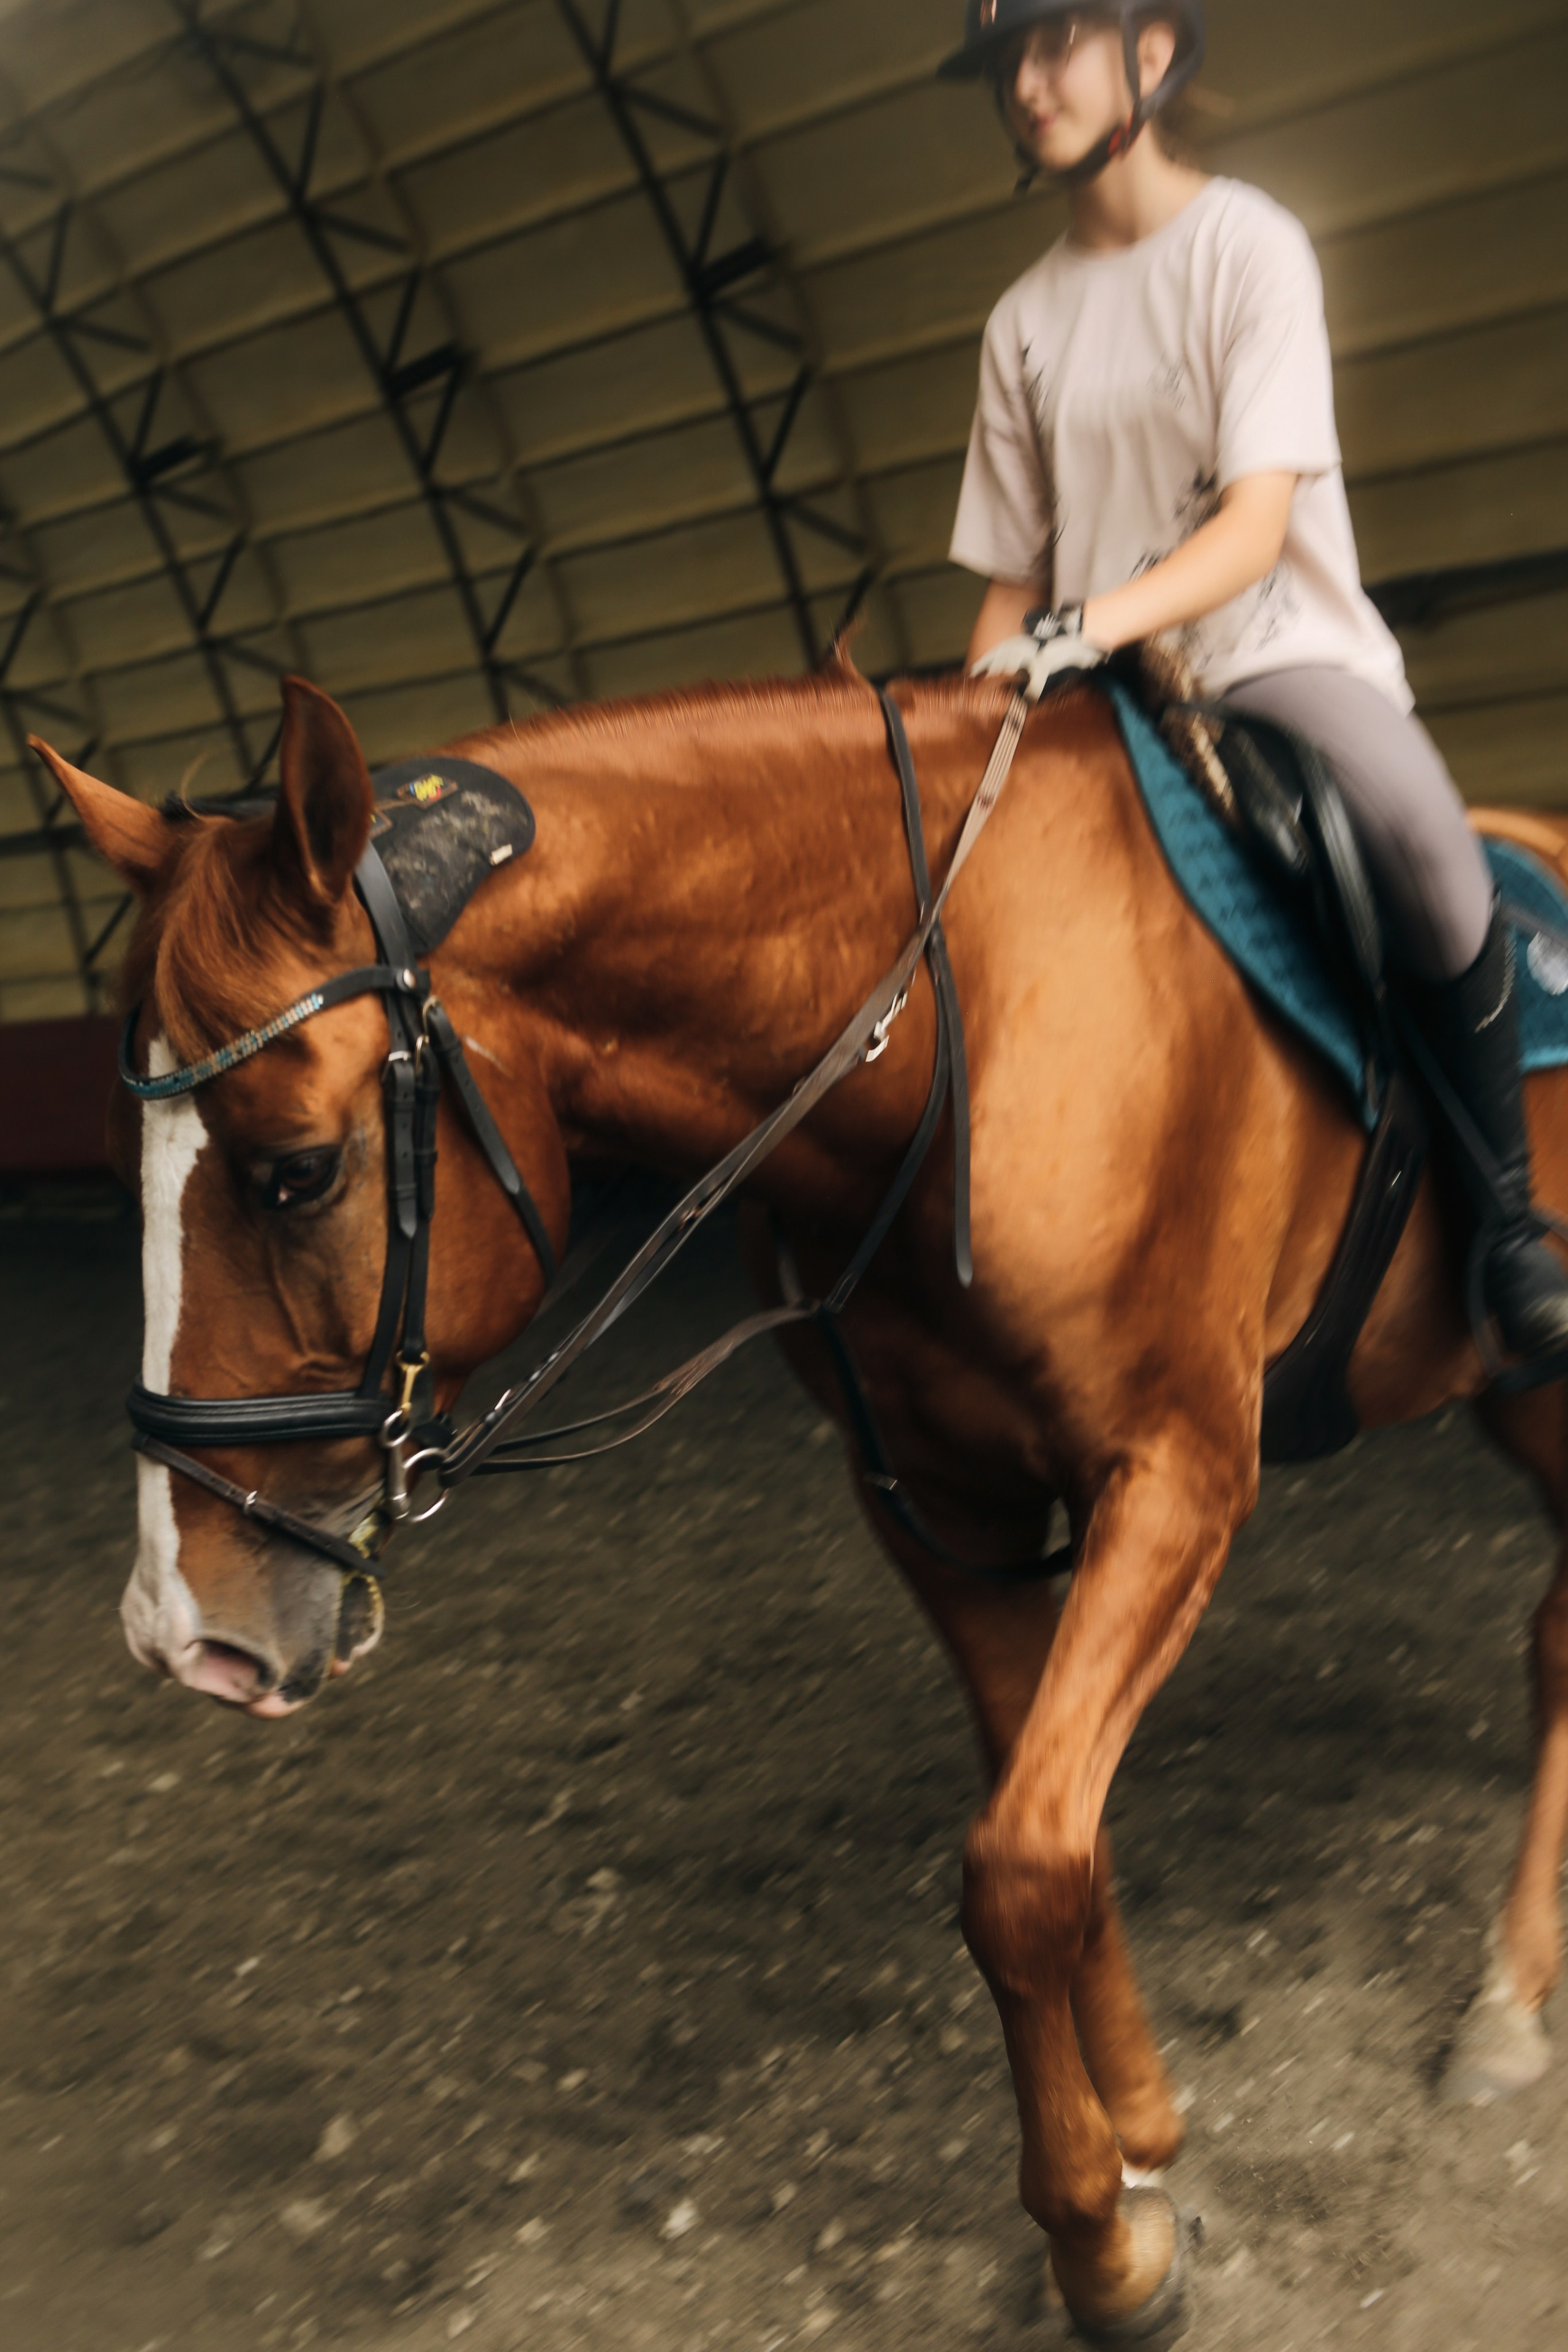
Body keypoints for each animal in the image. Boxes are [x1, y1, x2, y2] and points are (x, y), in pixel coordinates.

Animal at [35, 664, 1568, 2344]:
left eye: (296, 1171)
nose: (183, 1633)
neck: (960, 1033)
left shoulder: (1174, 1473)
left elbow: (1016, 1869)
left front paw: (1101, 2245)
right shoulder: (934, 1505)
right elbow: (1052, 1831)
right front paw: (1141, 2140)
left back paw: (1505, 1998)